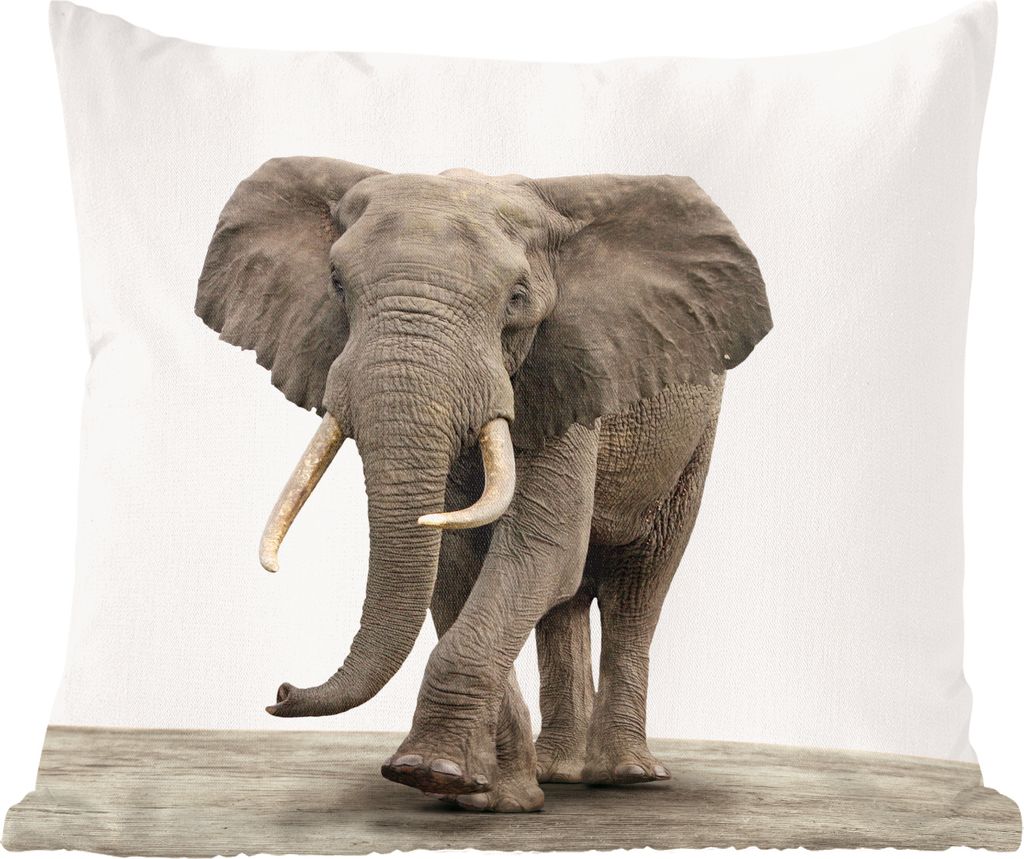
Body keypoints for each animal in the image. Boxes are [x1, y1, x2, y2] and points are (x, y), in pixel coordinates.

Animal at [196, 158, 771, 812]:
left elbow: (538, 551)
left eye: (517, 298)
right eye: (337, 284)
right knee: (567, 601)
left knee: (639, 582)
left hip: (694, 435)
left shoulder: (568, 373)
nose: (283, 691)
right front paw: (483, 795)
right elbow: (455, 566)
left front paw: (430, 772)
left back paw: (626, 776)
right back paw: (558, 773)